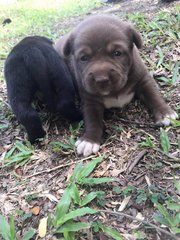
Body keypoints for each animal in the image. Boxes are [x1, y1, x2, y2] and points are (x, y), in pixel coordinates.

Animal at [54, 15, 178, 158]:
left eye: (117, 53)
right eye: (84, 58)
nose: (101, 79)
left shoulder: (143, 80)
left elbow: (153, 96)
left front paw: (165, 113)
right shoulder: (89, 98)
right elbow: (92, 118)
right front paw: (89, 140)